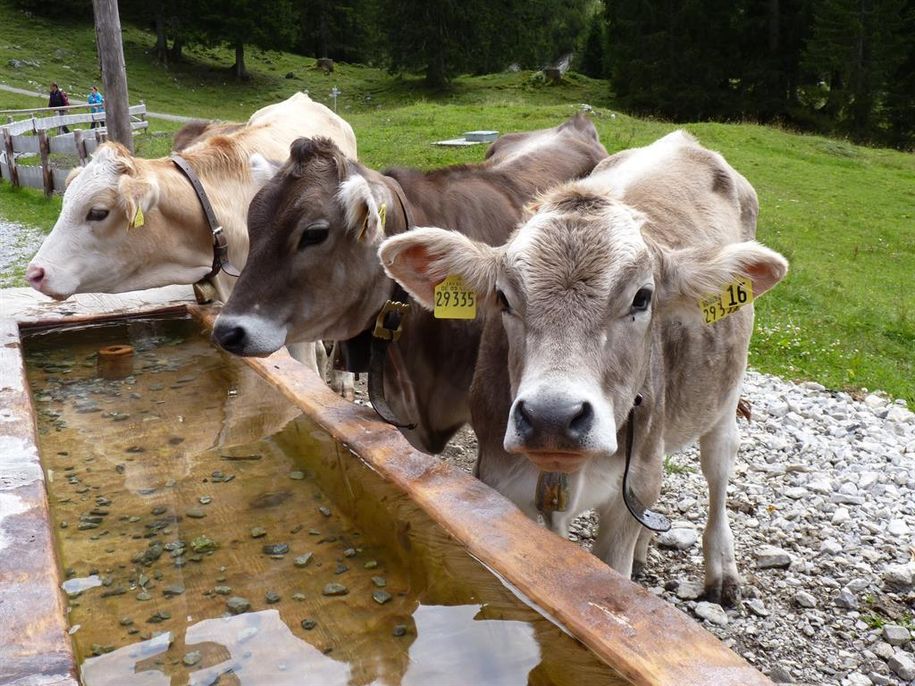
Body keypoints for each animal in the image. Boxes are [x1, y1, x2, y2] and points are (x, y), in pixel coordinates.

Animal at [380, 132, 788, 604]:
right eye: (502, 297)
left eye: (643, 297)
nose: (551, 417)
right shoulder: (499, 479)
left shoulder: (630, 491)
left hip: (725, 394)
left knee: (718, 465)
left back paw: (721, 570)